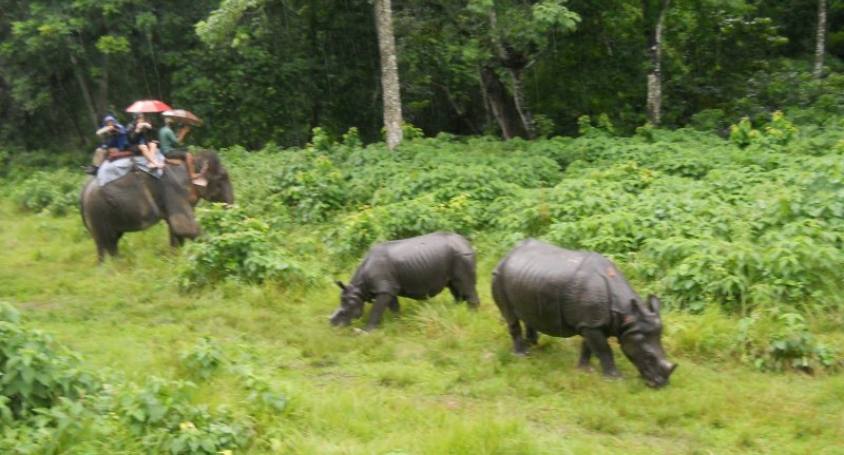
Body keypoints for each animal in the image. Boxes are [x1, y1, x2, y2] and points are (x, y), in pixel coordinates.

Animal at [79, 151, 232, 262]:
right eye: (222, 177)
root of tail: (83, 192)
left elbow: (176, 229)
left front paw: (175, 258)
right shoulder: (173, 190)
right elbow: (183, 226)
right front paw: (220, 245)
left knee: (110, 242)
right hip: (98, 213)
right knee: (106, 242)